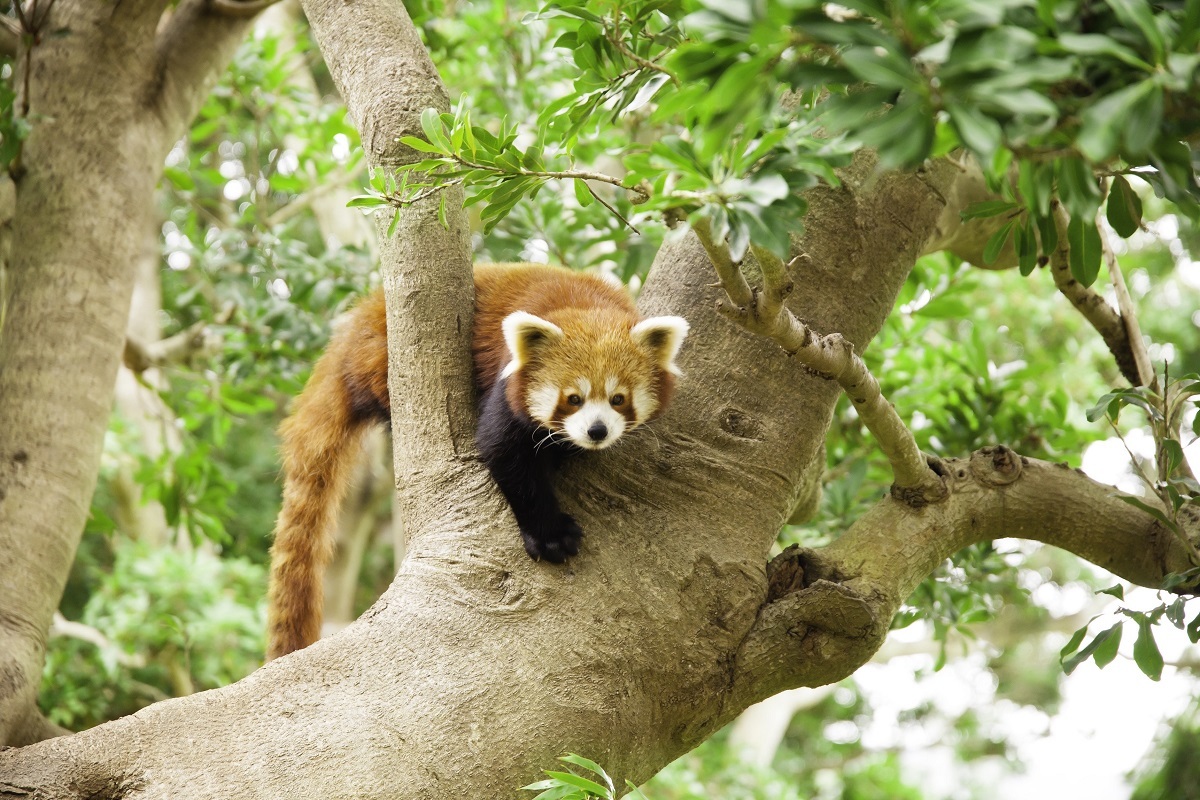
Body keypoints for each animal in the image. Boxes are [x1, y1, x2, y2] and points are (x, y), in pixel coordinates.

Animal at [267, 262, 691, 657]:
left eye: (618, 399)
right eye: (573, 399)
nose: (597, 431)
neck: (586, 304)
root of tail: (358, 320)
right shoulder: (508, 381)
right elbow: (503, 451)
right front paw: (551, 535)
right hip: (381, 362)